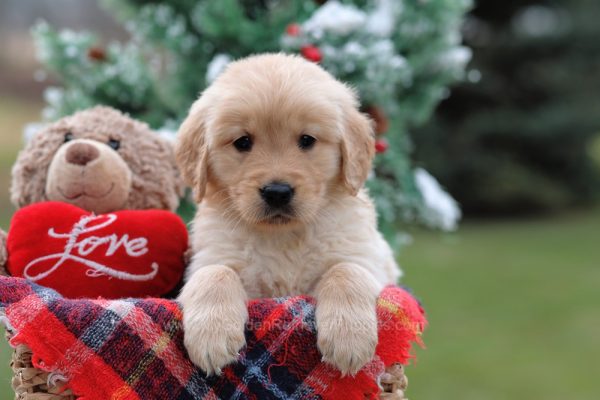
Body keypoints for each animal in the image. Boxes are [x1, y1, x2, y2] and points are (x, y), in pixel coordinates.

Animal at [178, 52, 404, 376]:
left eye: (307, 140)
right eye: (242, 142)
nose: (277, 192)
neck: (284, 237)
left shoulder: (368, 258)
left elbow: (345, 271)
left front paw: (349, 336)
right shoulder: (210, 256)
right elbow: (216, 273)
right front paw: (212, 335)